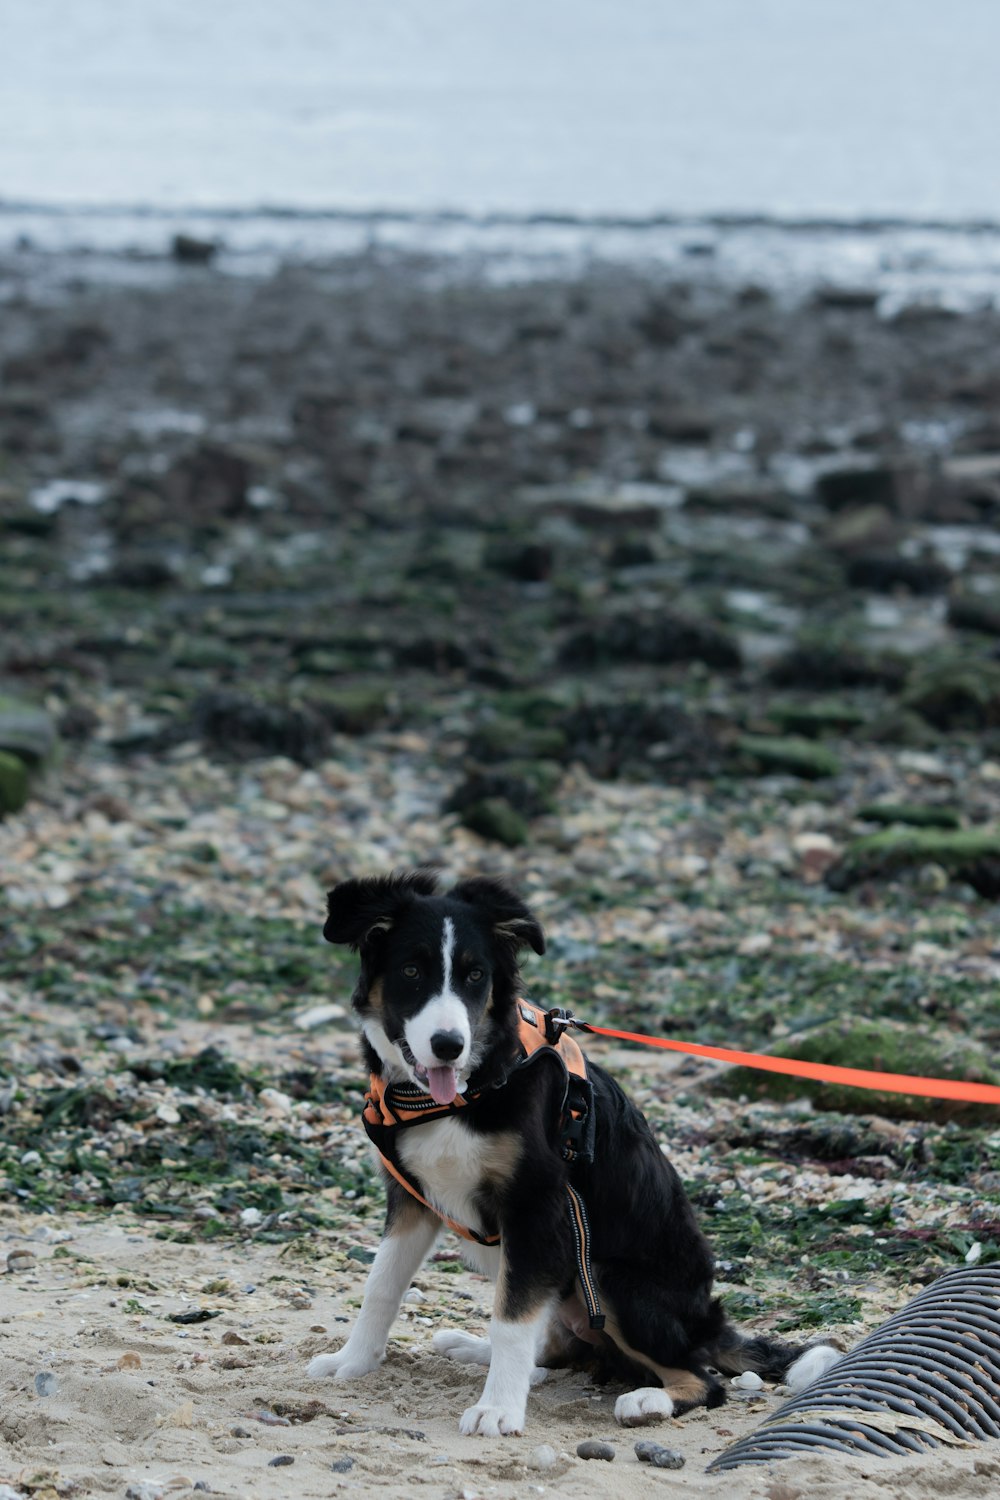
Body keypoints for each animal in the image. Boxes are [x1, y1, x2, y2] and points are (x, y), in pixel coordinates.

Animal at [308, 876, 839, 1434]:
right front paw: (353, 1362)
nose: (449, 1044)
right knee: (552, 1344)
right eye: (411, 971)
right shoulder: (412, 1199)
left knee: (704, 1380)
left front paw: (498, 1408)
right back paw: (476, 1349)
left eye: (476, 975)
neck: (467, 1090)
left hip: (608, 1279)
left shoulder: (537, 1205)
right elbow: (382, 1286)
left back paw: (648, 1400)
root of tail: (705, 1324)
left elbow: (511, 1320)